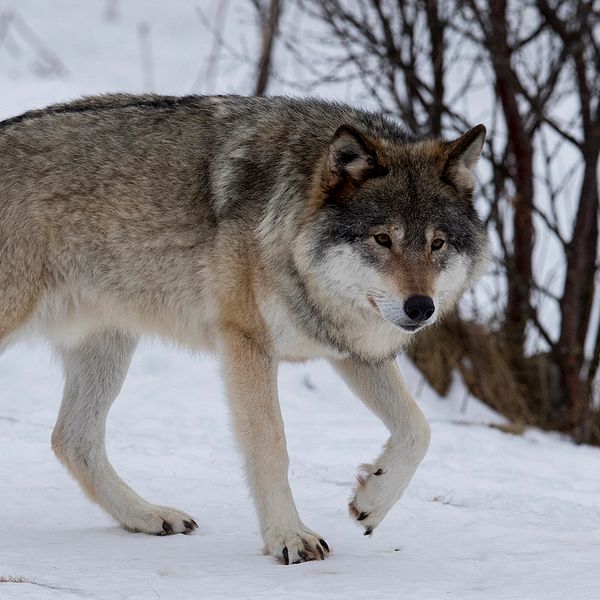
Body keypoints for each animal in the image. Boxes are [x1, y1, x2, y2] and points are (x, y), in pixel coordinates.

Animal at [0, 94, 488, 564]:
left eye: (437, 243)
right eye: (382, 239)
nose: (420, 308)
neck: (288, 232)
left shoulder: (352, 351)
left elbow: (419, 429)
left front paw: (373, 499)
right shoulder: (247, 343)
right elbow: (271, 445)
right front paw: (288, 537)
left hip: (109, 345)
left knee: (71, 440)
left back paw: (147, 515)